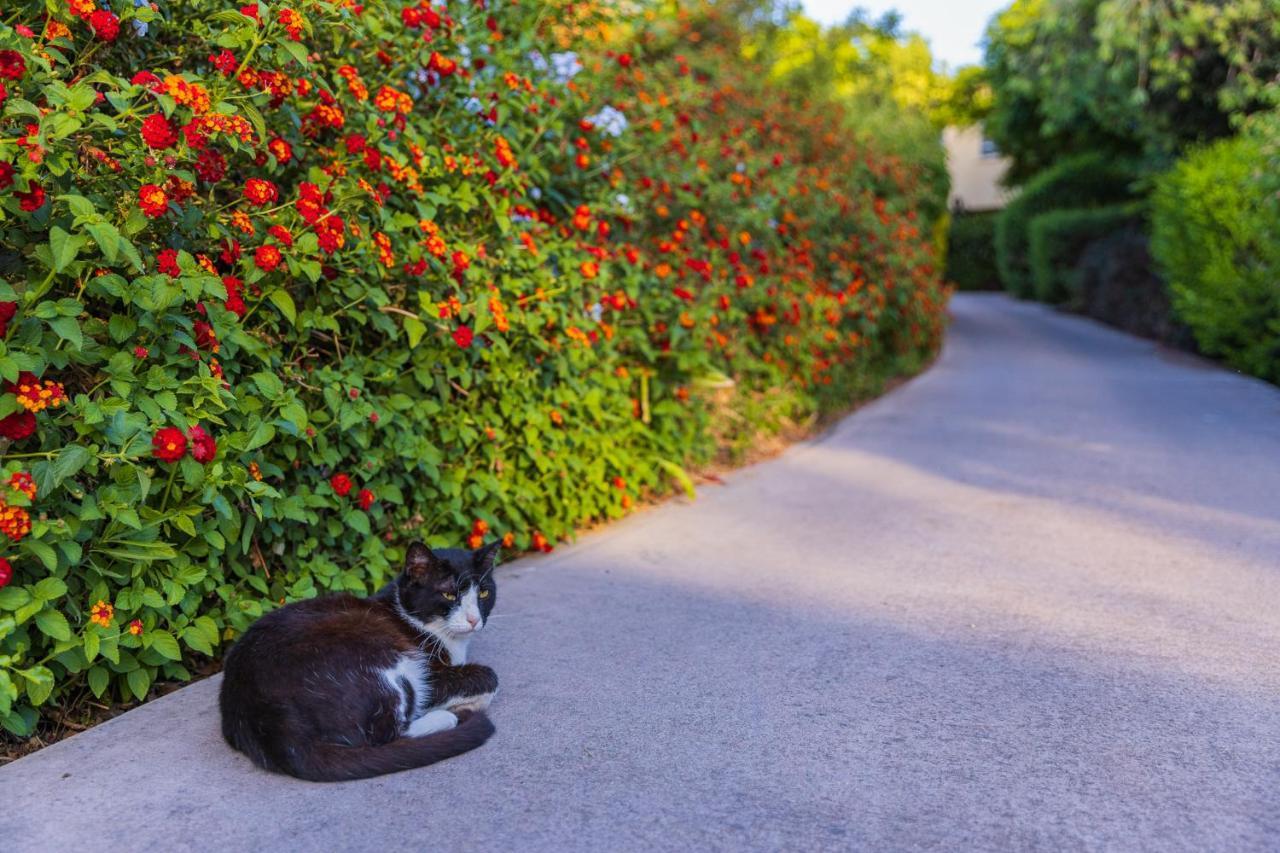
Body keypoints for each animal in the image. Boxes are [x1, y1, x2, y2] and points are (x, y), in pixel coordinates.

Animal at [220, 540, 499, 778]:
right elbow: (489, 678)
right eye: (449, 595)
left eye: (484, 594)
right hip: (384, 662)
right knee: (384, 734)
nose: (474, 620)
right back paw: (448, 717)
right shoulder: (430, 670)